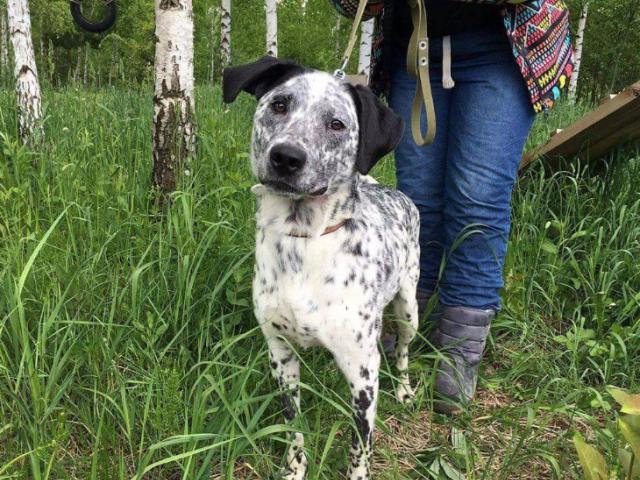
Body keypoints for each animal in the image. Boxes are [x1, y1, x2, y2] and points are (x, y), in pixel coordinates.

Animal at [222, 57, 422, 480]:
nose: (286, 157)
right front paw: (295, 467)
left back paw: (404, 388)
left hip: (407, 309)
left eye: (337, 124)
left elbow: (359, 449)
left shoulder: (363, 376)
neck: (306, 240)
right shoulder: (280, 354)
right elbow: (293, 425)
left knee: (402, 352)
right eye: (279, 104)